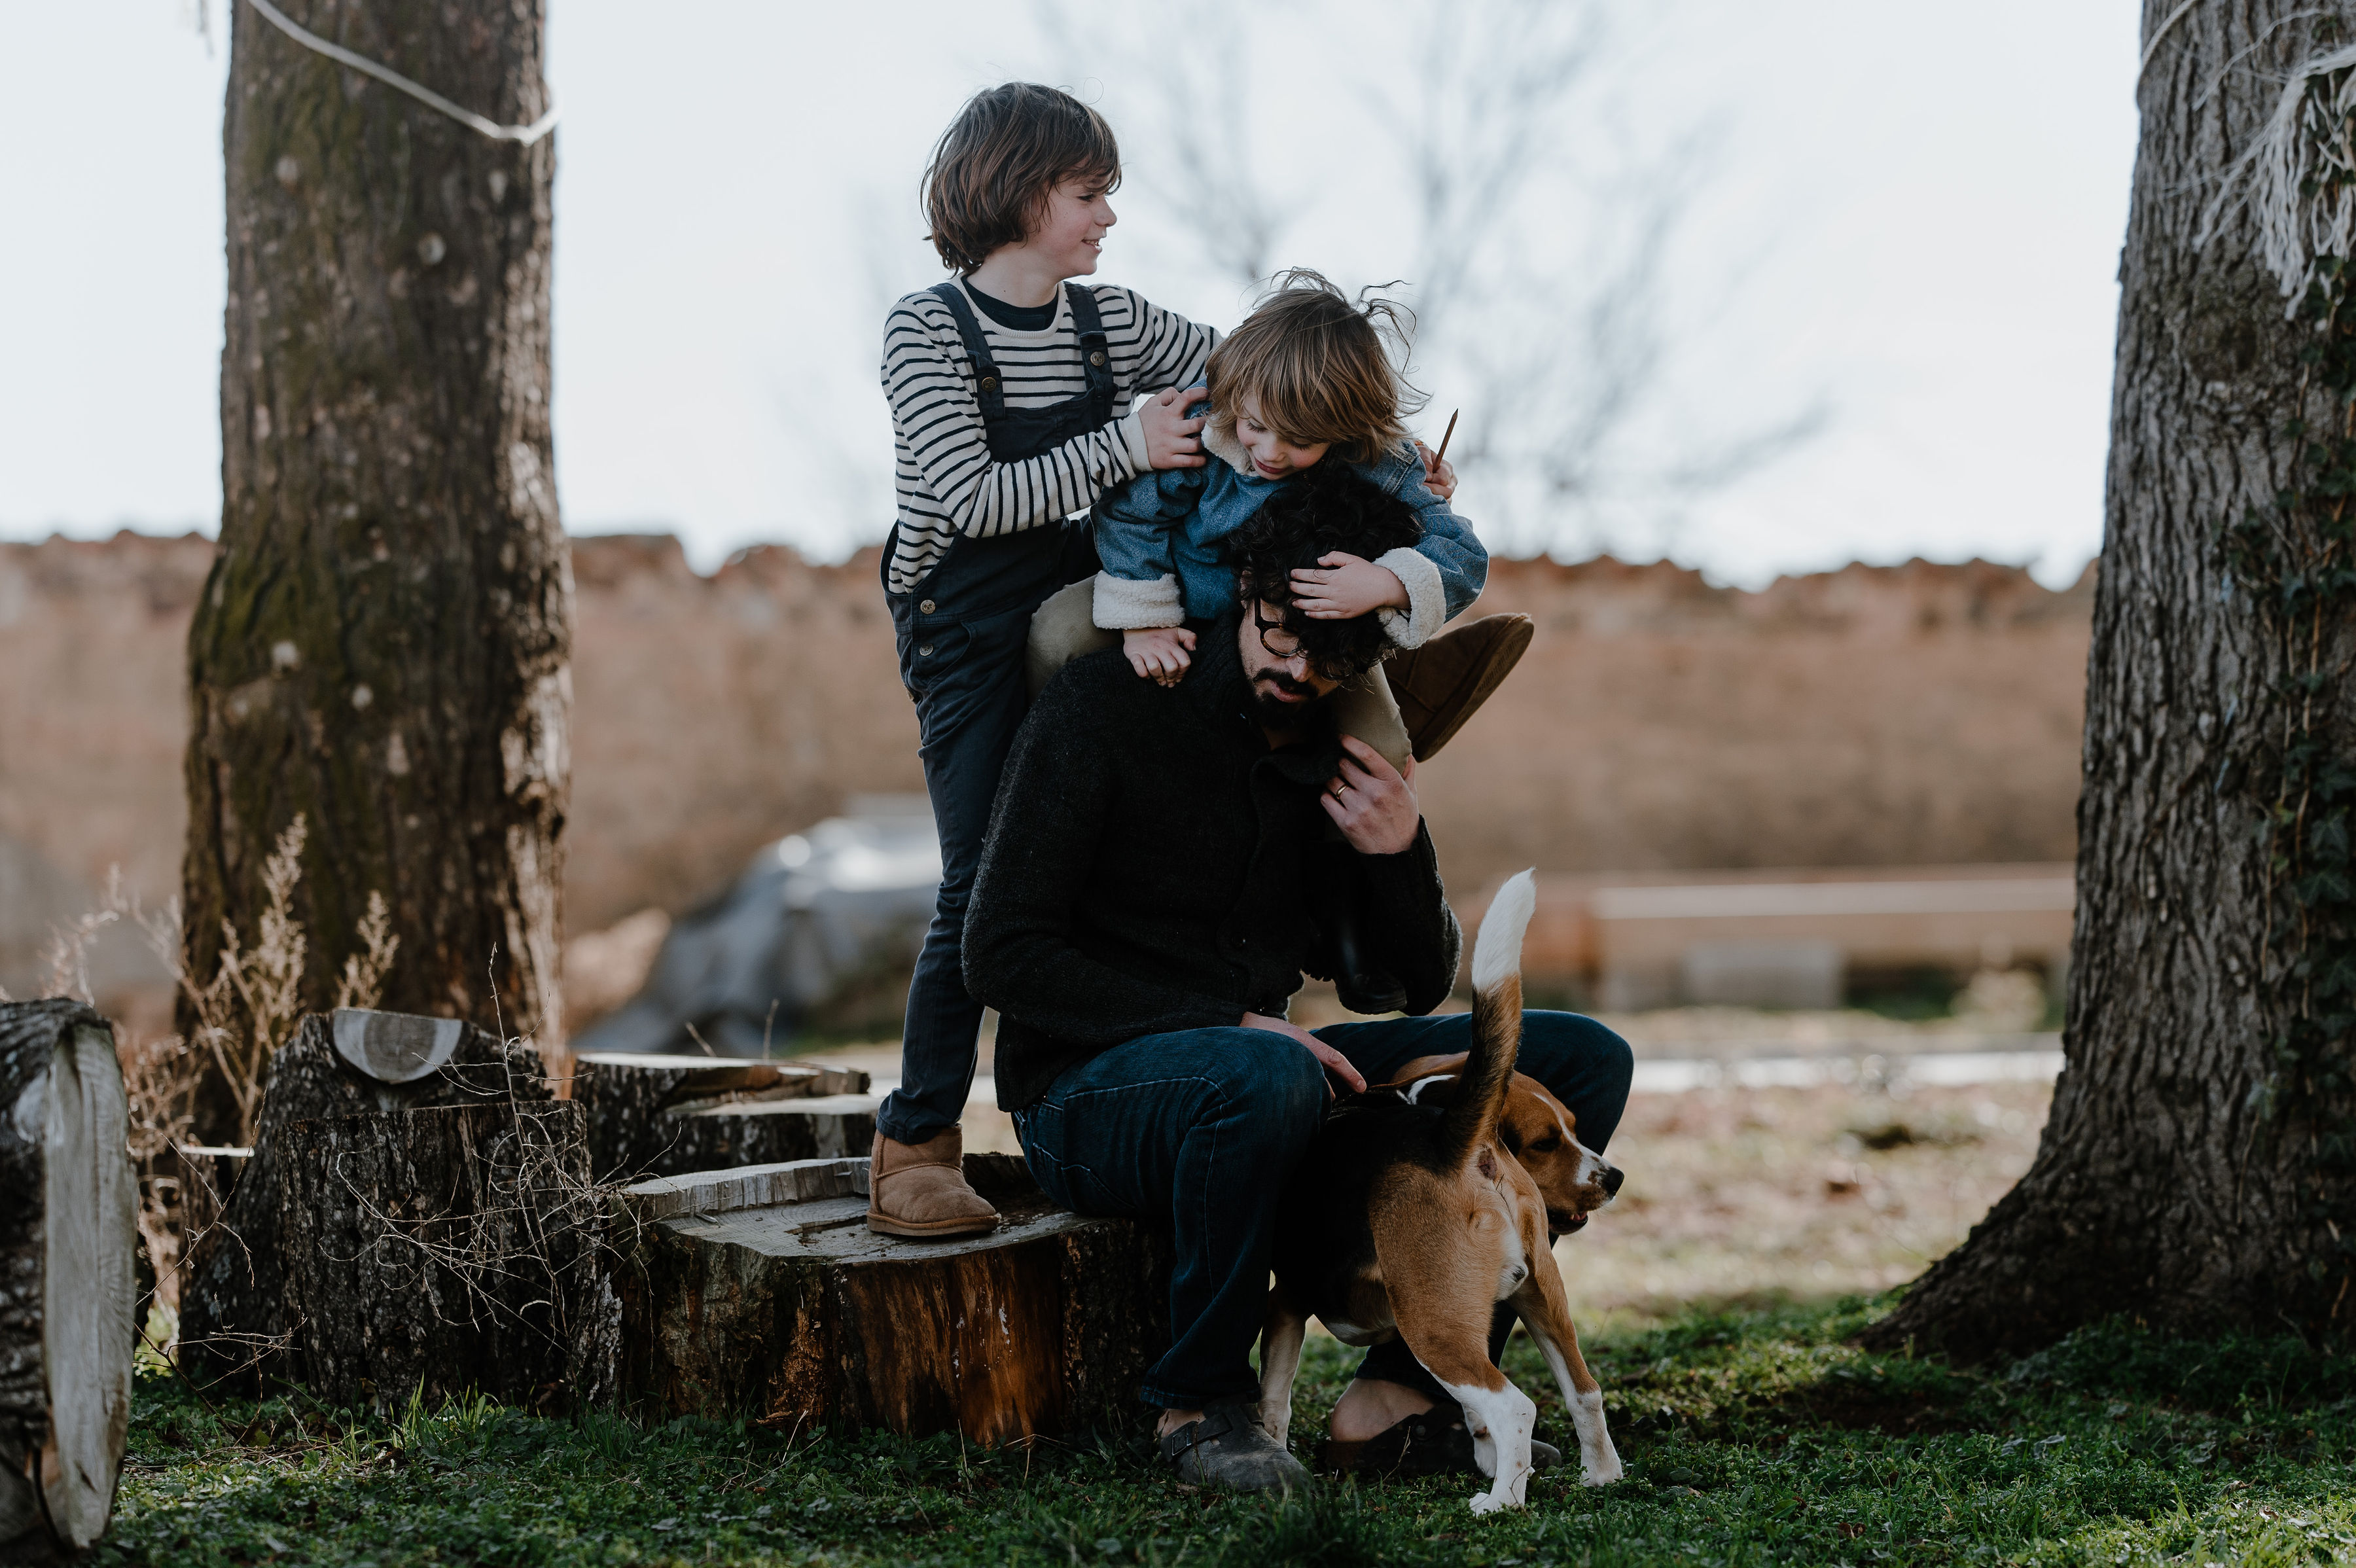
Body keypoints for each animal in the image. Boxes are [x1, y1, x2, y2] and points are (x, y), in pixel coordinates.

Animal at [1253, 871, 1620, 1506]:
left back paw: (1499, 1504)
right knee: (1584, 1390)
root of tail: (1458, 1141)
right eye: (1551, 1140)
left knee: (1514, 1407)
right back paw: (1600, 1475)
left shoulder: (1285, 1302)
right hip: (1542, 1300)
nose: (1615, 1178)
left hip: (1432, 1326)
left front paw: (1274, 1454)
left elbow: (1274, 1398)